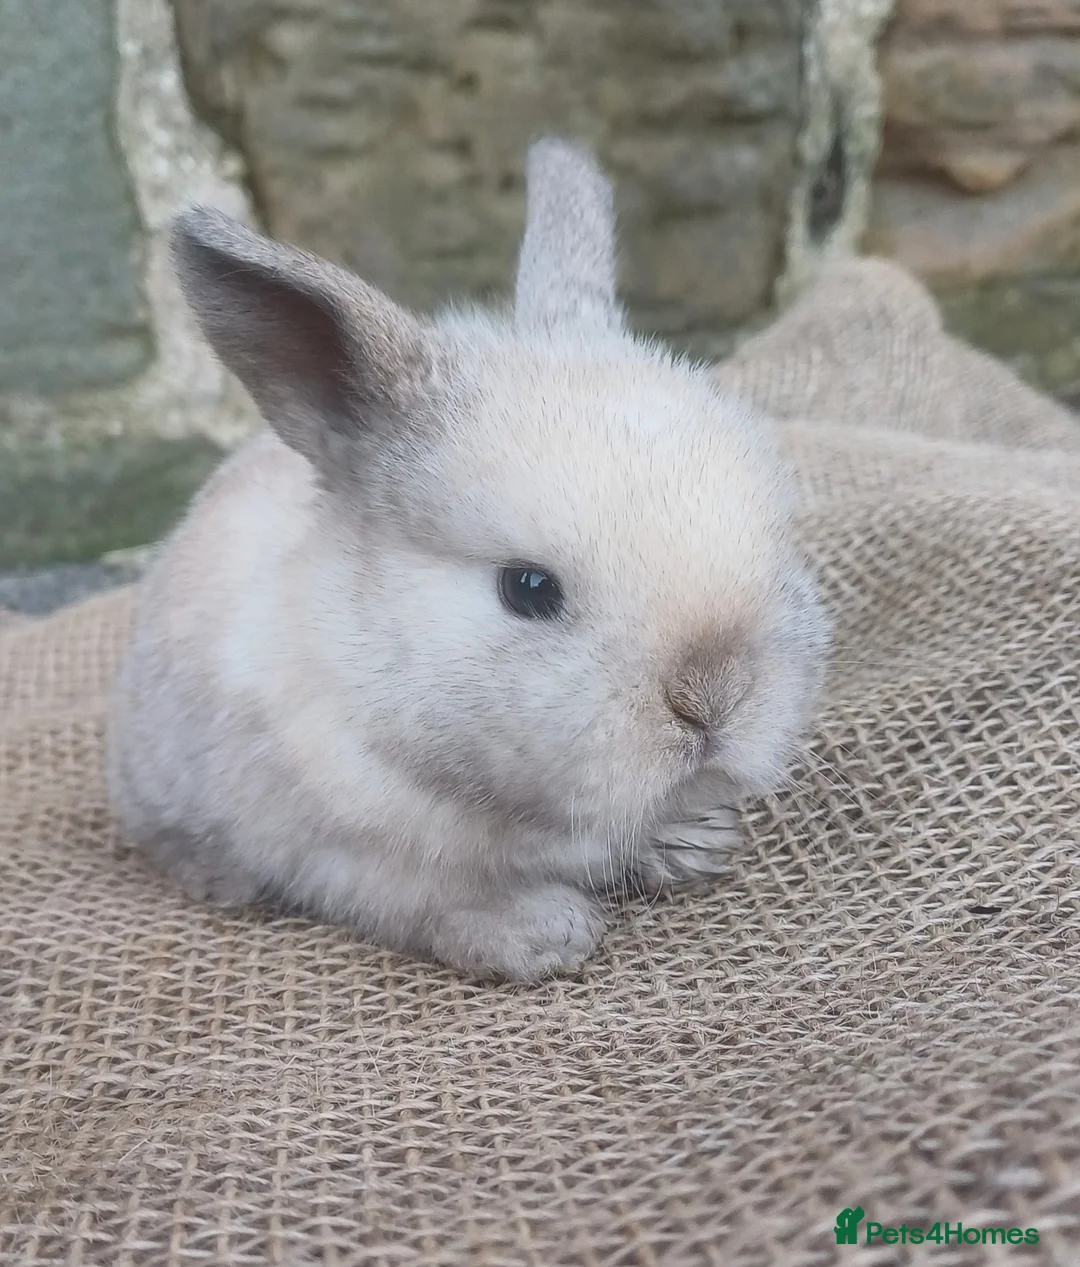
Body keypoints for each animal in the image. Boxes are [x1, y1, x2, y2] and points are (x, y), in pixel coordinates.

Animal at [106, 138, 829, 981]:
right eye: (528, 587)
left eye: (775, 537)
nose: (714, 697)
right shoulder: (348, 854)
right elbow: (437, 903)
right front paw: (543, 933)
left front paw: (692, 843)